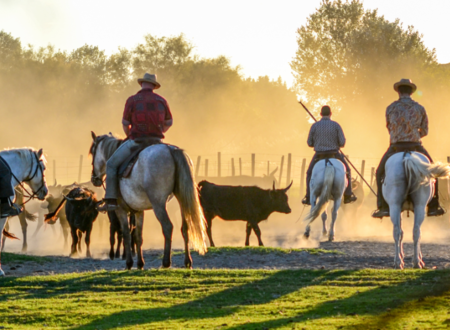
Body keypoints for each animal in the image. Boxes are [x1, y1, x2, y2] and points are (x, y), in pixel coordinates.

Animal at [90, 133, 209, 270]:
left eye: (92, 152)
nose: (94, 179)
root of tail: (171, 150)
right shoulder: (138, 211)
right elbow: (138, 236)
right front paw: (140, 264)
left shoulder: (121, 210)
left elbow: (126, 234)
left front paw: (129, 264)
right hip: (182, 199)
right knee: (185, 227)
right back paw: (187, 262)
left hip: (158, 204)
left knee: (167, 226)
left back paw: (166, 262)